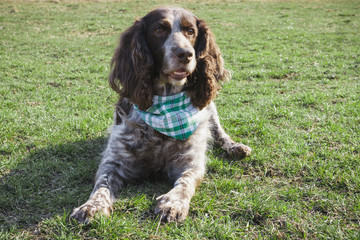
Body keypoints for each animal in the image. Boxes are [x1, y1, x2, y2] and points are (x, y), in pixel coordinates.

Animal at [70, 6, 250, 223]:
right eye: (159, 30)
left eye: (190, 31)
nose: (185, 54)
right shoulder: (114, 161)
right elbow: (102, 184)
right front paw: (92, 206)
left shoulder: (190, 161)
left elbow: (185, 182)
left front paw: (173, 203)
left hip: (210, 110)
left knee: (219, 132)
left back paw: (235, 146)